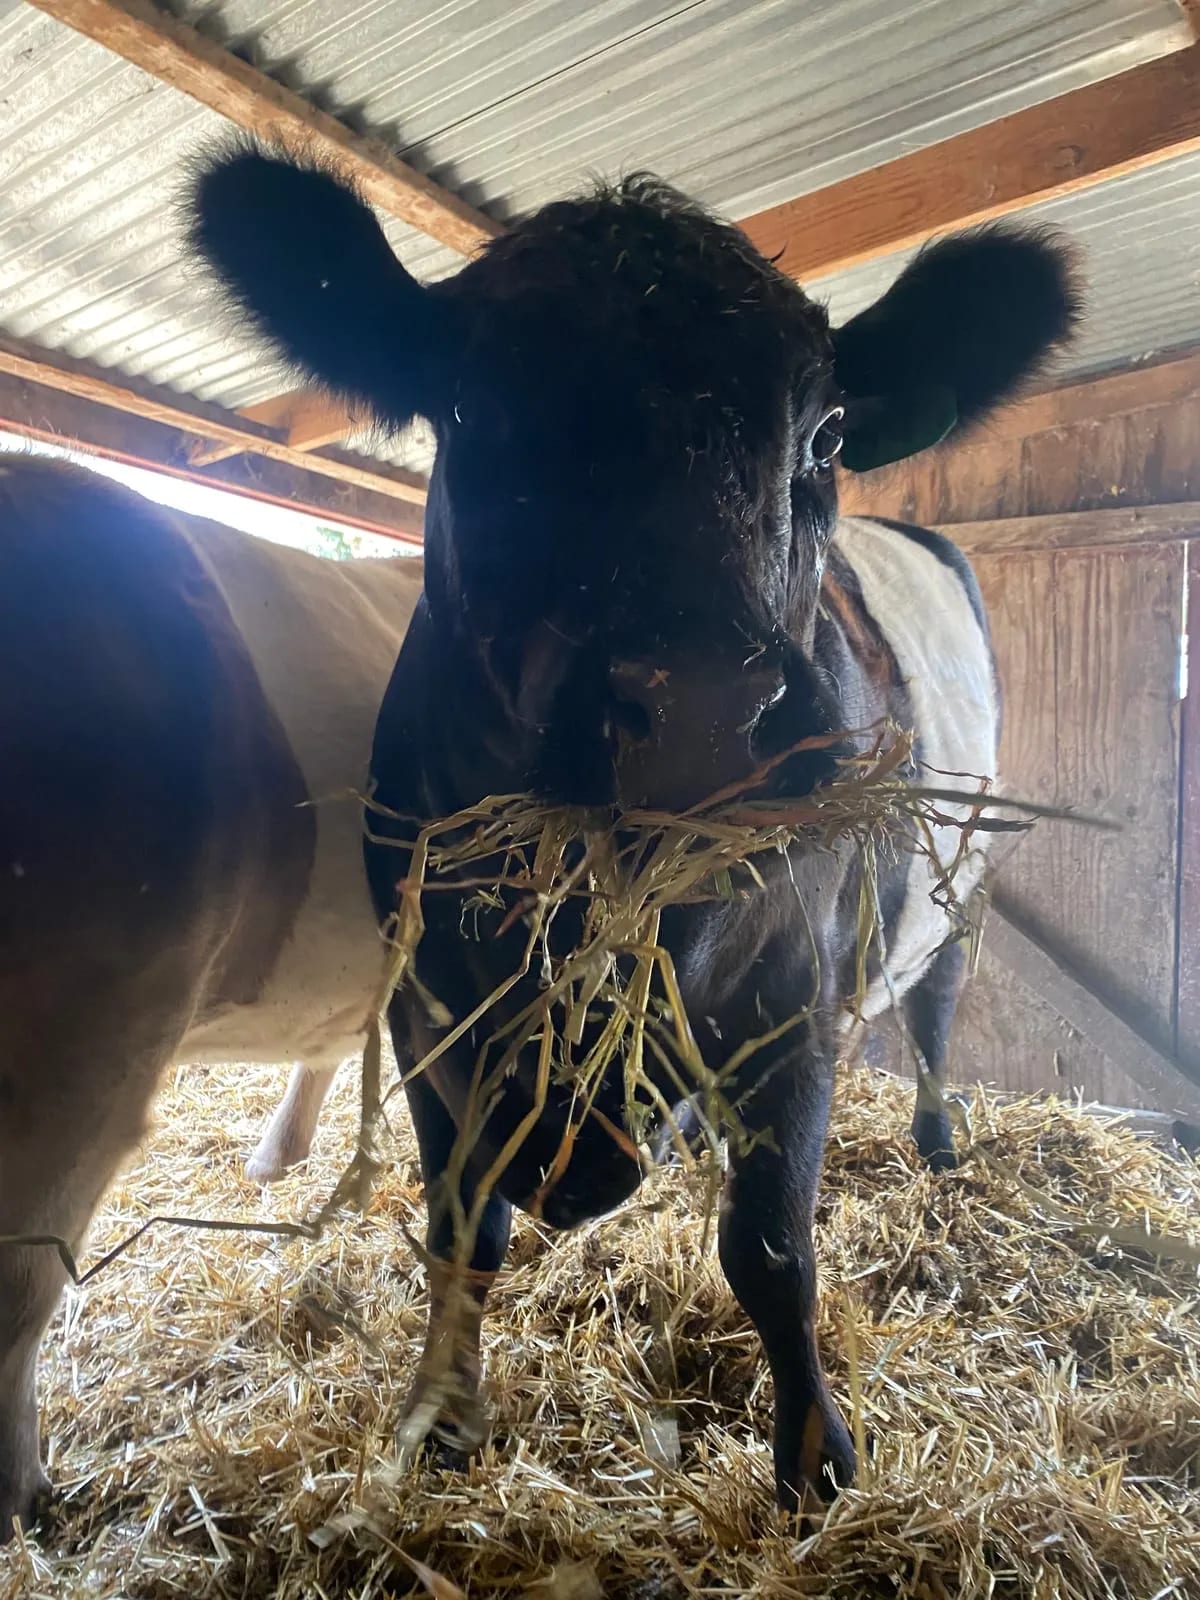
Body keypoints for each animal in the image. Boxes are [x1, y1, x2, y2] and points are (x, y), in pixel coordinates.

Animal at [186, 146, 1078, 1514]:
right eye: (474, 406)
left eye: (825, 433)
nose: (700, 708)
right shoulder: (431, 1008)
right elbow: (463, 1224)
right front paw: (441, 1420)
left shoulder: (793, 991)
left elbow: (770, 1244)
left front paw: (818, 1458)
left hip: (965, 874)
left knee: (936, 1008)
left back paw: (937, 1145)